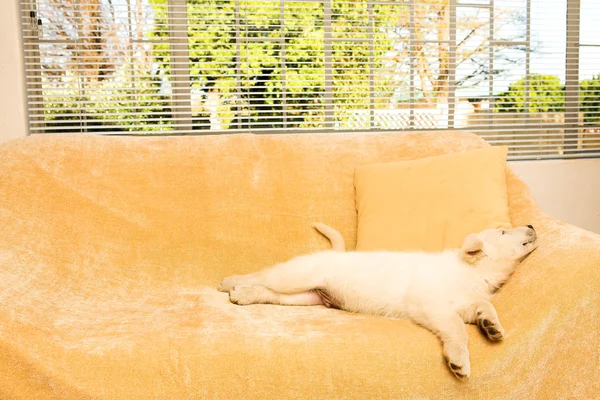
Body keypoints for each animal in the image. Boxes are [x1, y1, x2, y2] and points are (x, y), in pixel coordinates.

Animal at [218, 223, 536, 380]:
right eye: (504, 232)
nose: (531, 224)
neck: (473, 271)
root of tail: (335, 253)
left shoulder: (467, 302)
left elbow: (484, 307)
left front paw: (491, 325)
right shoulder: (432, 306)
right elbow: (457, 330)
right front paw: (459, 360)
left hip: (306, 296)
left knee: (269, 292)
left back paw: (245, 293)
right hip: (296, 277)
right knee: (262, 275)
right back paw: (231, 282)